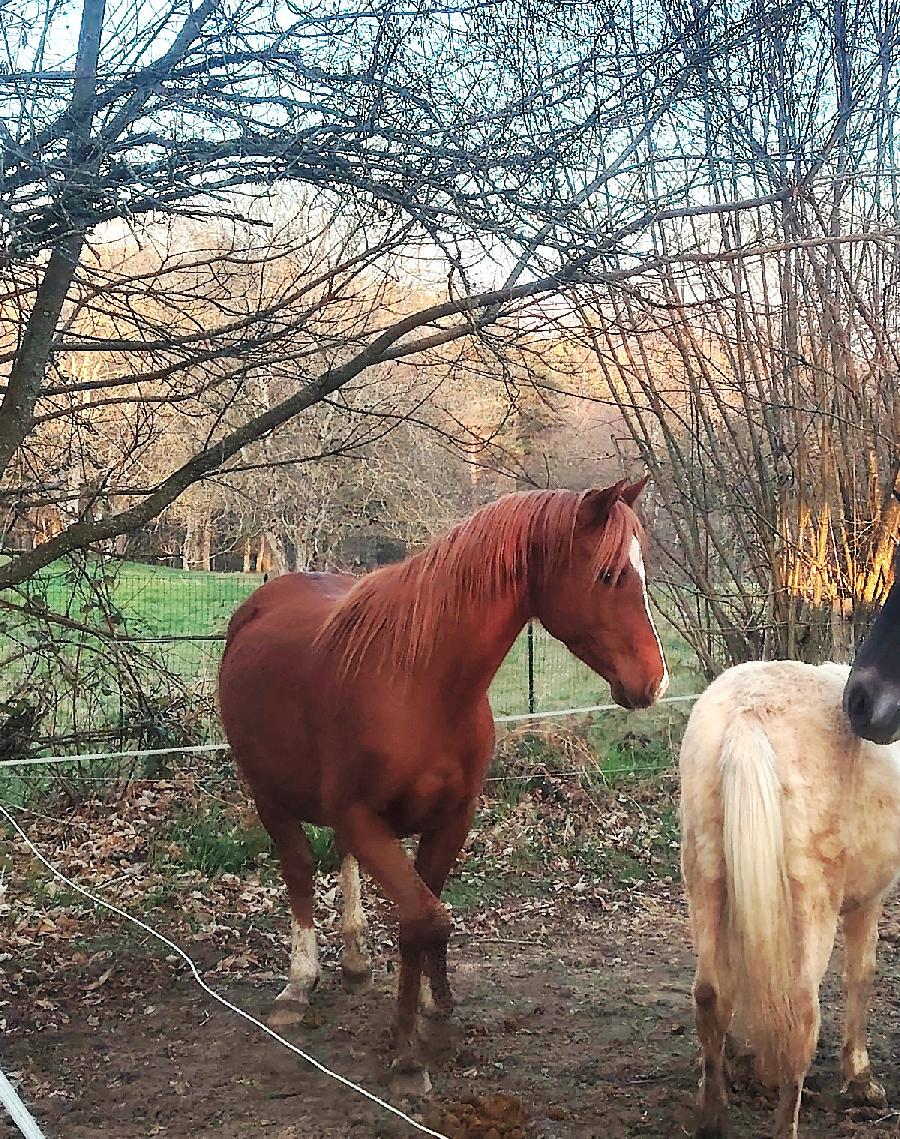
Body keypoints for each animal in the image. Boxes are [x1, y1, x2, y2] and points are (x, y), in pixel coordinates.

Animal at [217, 478, 669, 1094]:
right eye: (608, 575)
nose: (655, 681)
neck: (419, 682)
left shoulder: (451, 819)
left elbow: (430, 918)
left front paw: (435, 1012)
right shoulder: (365, 818)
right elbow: (423, 918)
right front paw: (409, 1056)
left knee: (341, 864)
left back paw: (356, 962)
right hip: (269, 794)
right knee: (299, 872)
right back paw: (299, 982)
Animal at [680, 659, 900, 1139]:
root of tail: (747, 715)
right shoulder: (867, 901)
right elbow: (862, 976)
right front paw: (860, 1079)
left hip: (706, 879)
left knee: (710, 994)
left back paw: (713, 1117)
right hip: (812, 907)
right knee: (801, 1013)